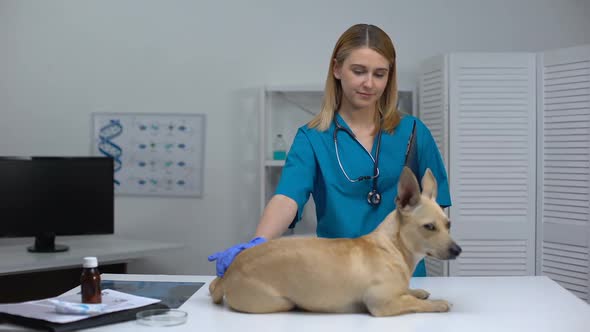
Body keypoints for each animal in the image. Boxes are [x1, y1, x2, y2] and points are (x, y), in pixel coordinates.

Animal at [208, 167, 462, 318]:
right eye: (429, 227)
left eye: (448, 224)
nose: (458, 250)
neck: (393, 247)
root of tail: (229, 272)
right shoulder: (383, 304)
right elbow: (413, 302)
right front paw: (438, 303)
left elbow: (408, 292)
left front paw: (417, 290)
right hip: (279, 302)